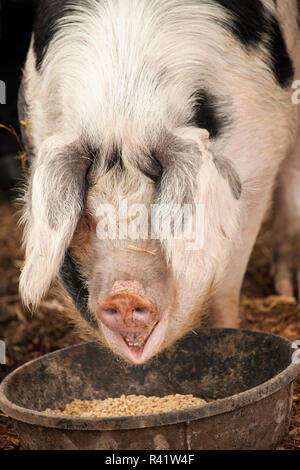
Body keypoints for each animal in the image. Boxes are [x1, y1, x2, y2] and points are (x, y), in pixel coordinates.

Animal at [18, 0, 300, 366]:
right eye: (86, 219)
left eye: (159, 212)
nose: (124, 296)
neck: (124, 118)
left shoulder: (259, 163)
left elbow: (226, 284)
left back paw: (285, 290)